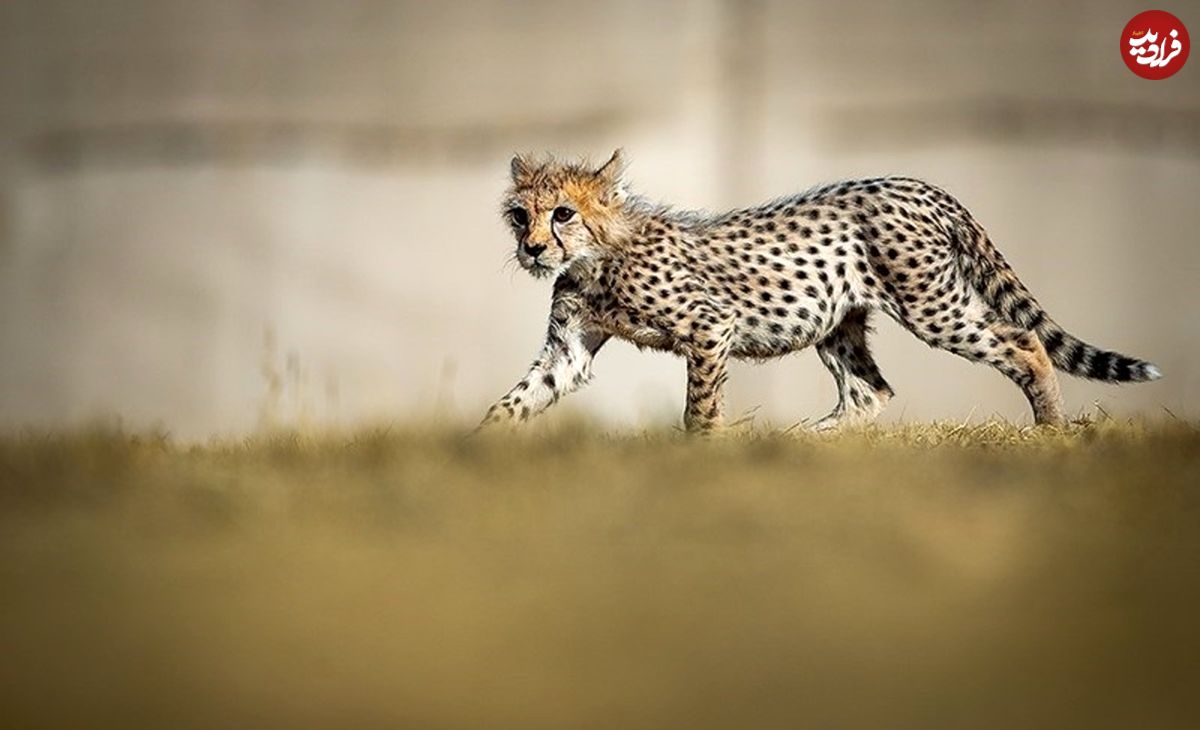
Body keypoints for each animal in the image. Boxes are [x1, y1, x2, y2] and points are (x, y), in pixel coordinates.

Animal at [480, 150, 1161, 429]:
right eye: (520, 215)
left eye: (563, 214)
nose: (532, 248)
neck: (596, 256)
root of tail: (918, 183)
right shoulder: (570, 349)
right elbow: (515, 400)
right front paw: (478, 449)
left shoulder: (710, 326)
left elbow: (700, 409)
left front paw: (700, 455)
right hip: (837, 320)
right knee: (870, 391)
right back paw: (807, 442)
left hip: (931, 306)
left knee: (1024, 344)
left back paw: (1050, 431)